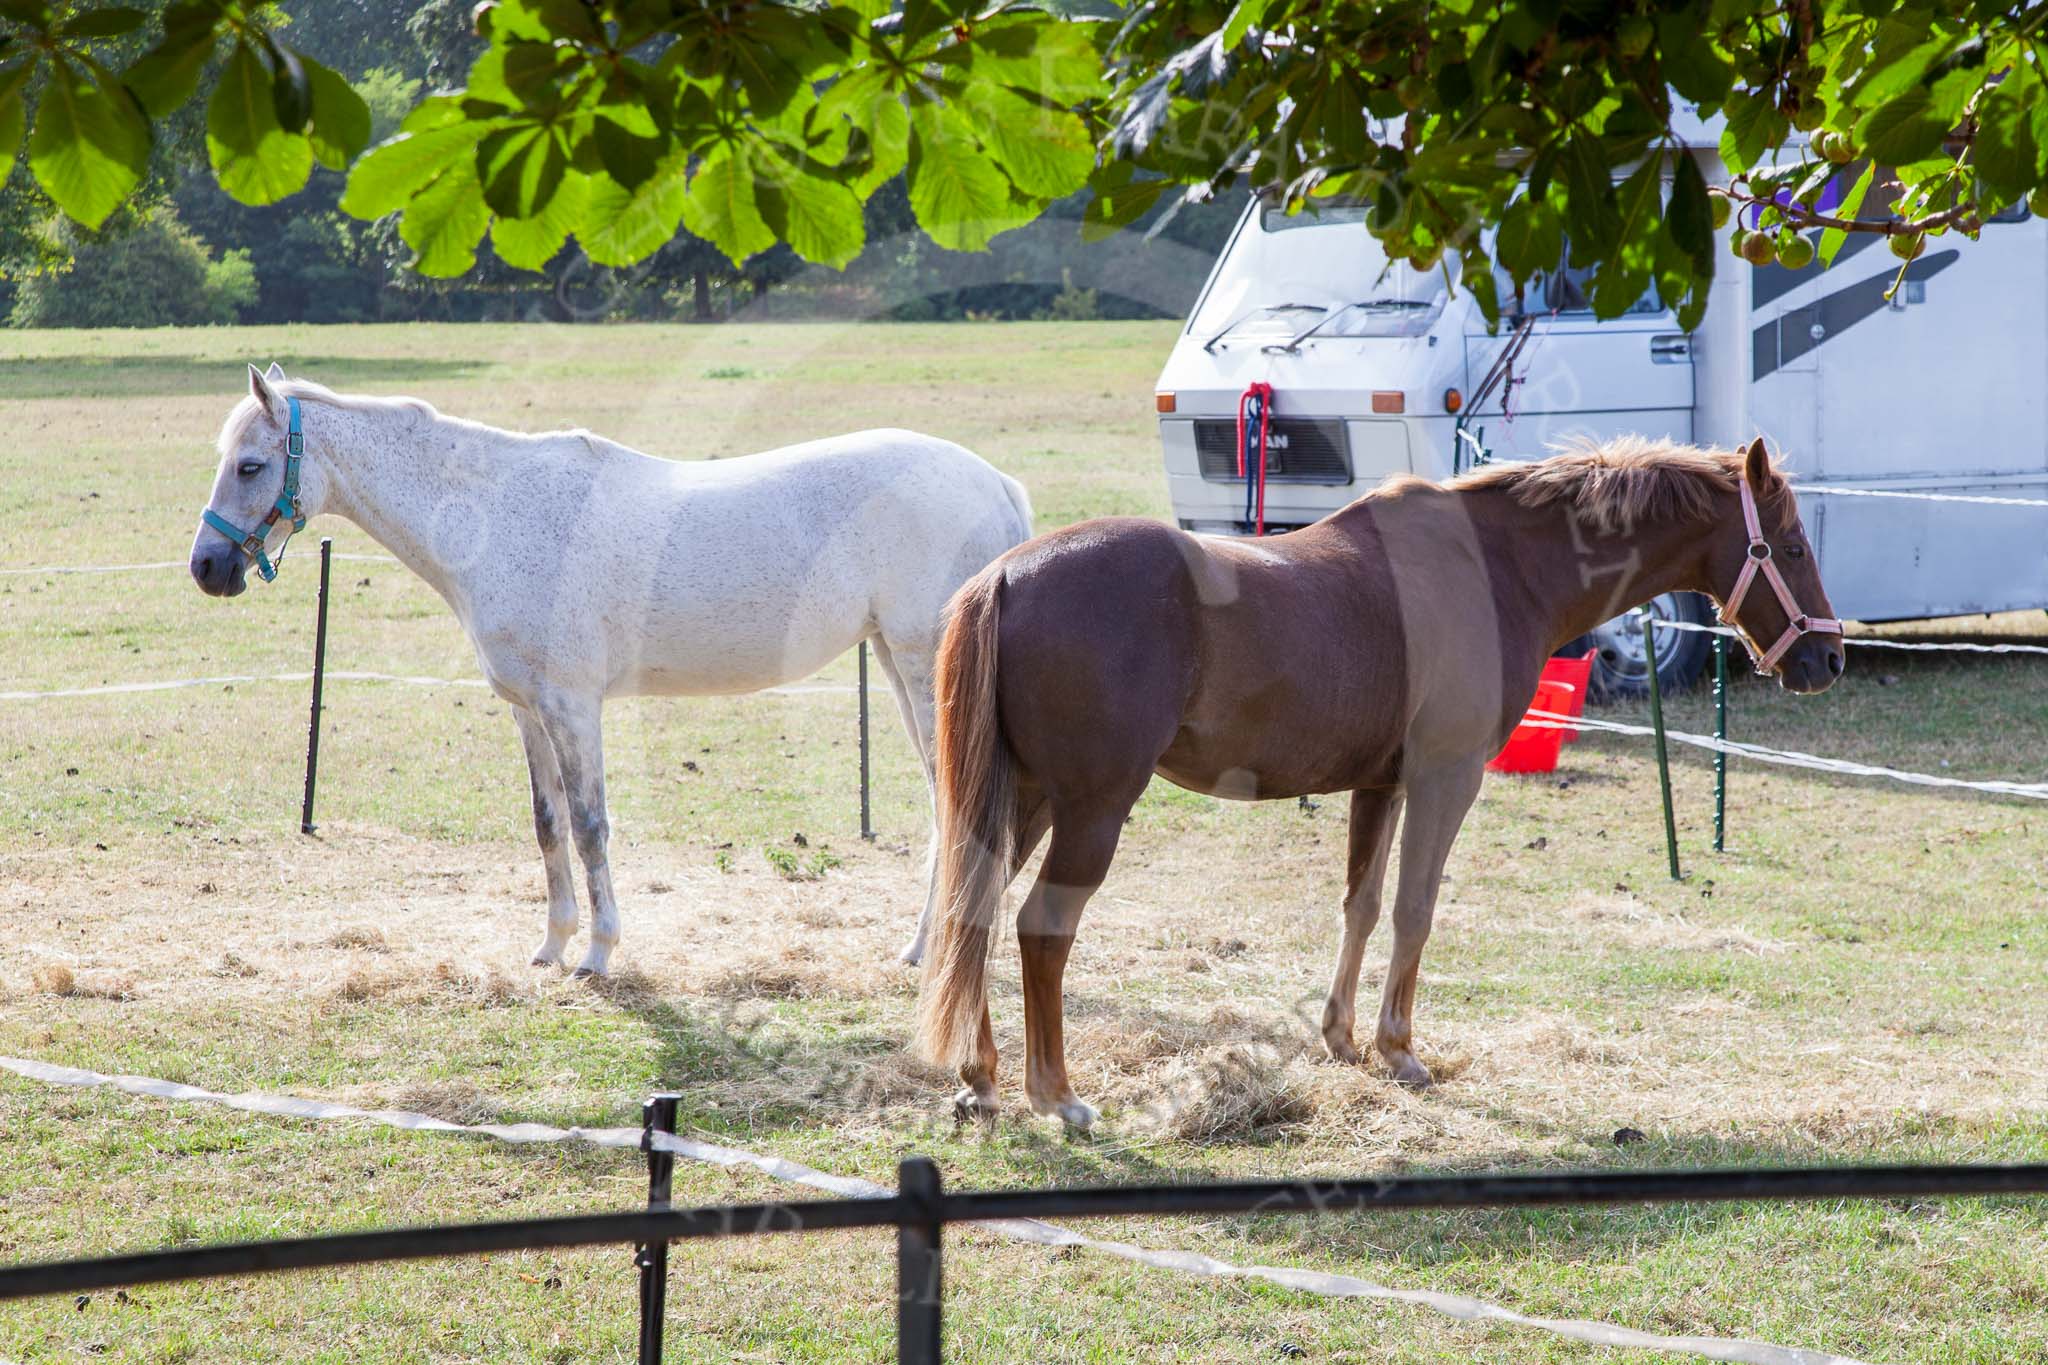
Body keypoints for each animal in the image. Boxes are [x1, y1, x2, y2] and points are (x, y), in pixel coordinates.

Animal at [192, 368, 1032, 978]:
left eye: (251, 465)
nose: (207, 567)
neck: (501, 514)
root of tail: (997, 483)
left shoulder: (574, 707)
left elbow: (592, 825)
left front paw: (598, 953)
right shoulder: (529, 709)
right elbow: (549, 823)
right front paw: (553, 944)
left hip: (921, 666)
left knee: (954, 803)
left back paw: (927, 950)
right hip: (895, 661)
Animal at [913, 439, 1843, 1129]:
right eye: (1792, 546)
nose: (1827, 658)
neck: (1497, 564)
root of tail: (1005, 576)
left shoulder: (1380, 787)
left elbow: (1359, 905)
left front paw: (1341, 1037)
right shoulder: (1444, 778)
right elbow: (1413, 908)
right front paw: (1399, 1048)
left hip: (1025, 801)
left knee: (974, 912)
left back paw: (981, 1078)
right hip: (1092, 809)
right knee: (1040, 928)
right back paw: (1056, 1094)